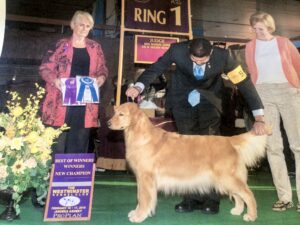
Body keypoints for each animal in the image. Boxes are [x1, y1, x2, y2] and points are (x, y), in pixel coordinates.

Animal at [107, 103, 268, 222]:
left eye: (121, 114)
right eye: (115, 112)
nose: (108, 123)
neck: (140, 135)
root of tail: (229, 140)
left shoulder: (146, 177)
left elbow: (143, 198)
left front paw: (139, 216)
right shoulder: (143, 179)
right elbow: (141, 198)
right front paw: (137, 213)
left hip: (227, 178)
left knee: (248, 194)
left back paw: (251, 215)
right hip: (225, 180)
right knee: (238, 195)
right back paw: (237, 210)